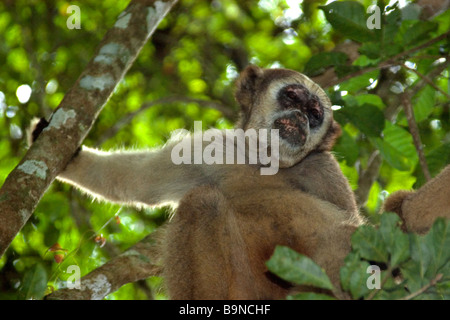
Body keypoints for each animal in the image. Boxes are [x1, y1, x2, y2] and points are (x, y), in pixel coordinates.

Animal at [31, 65, 364, 300]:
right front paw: (71, 159)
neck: (264, 163)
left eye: (315, 113)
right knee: (203, 202)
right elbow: (139, 181)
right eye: (292, 96)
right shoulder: (209, 150)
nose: (302, 117)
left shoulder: (323, 170)